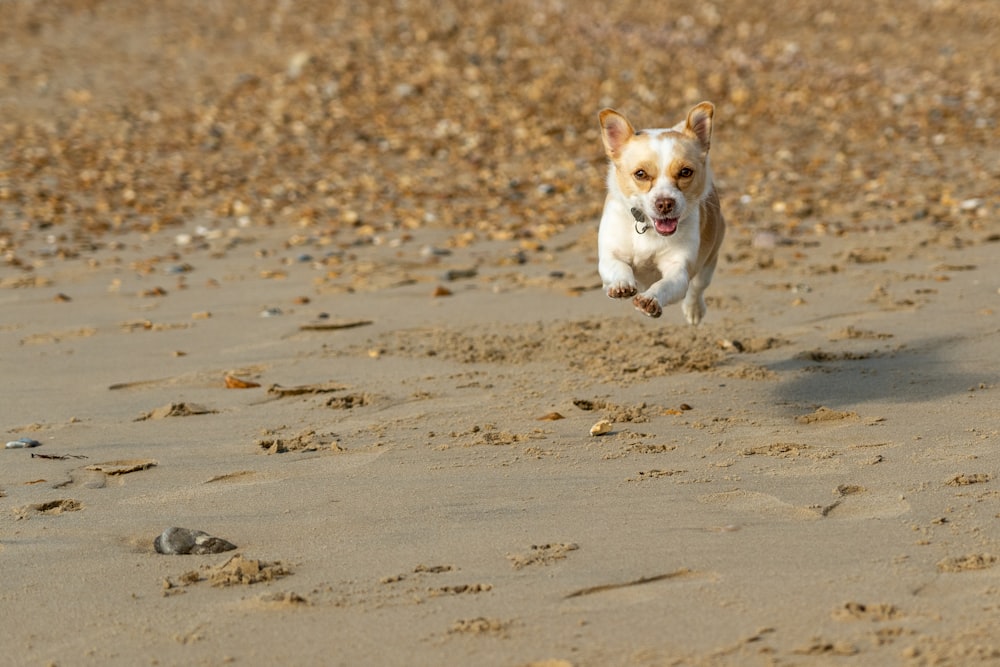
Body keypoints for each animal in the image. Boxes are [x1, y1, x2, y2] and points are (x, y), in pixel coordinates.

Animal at [592, 100, 728, 326]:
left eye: (685, 172)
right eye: (640, 174)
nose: (665, 203)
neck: (648, 228)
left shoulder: (678, 271)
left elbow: (664, 285)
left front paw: (650, 299)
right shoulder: (610, 256)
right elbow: (619, 267)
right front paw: (620, 285)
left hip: (708, 263)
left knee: (697, 288)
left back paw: (693, 310)